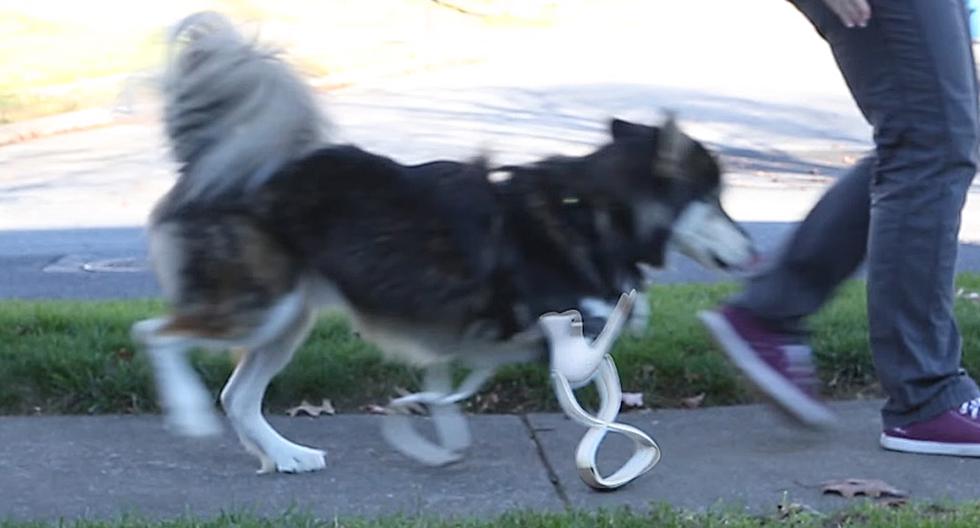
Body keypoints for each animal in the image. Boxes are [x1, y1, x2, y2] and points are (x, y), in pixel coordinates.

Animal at [132, 11, 756, 474]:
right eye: (716, 198)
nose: (755, 251)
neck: (590, 212)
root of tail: (212, 166)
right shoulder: (565, 343)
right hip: (260, 306)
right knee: (156, 333)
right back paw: (190, 412)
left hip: (287, 317)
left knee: (237, 396)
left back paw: (285, 454)